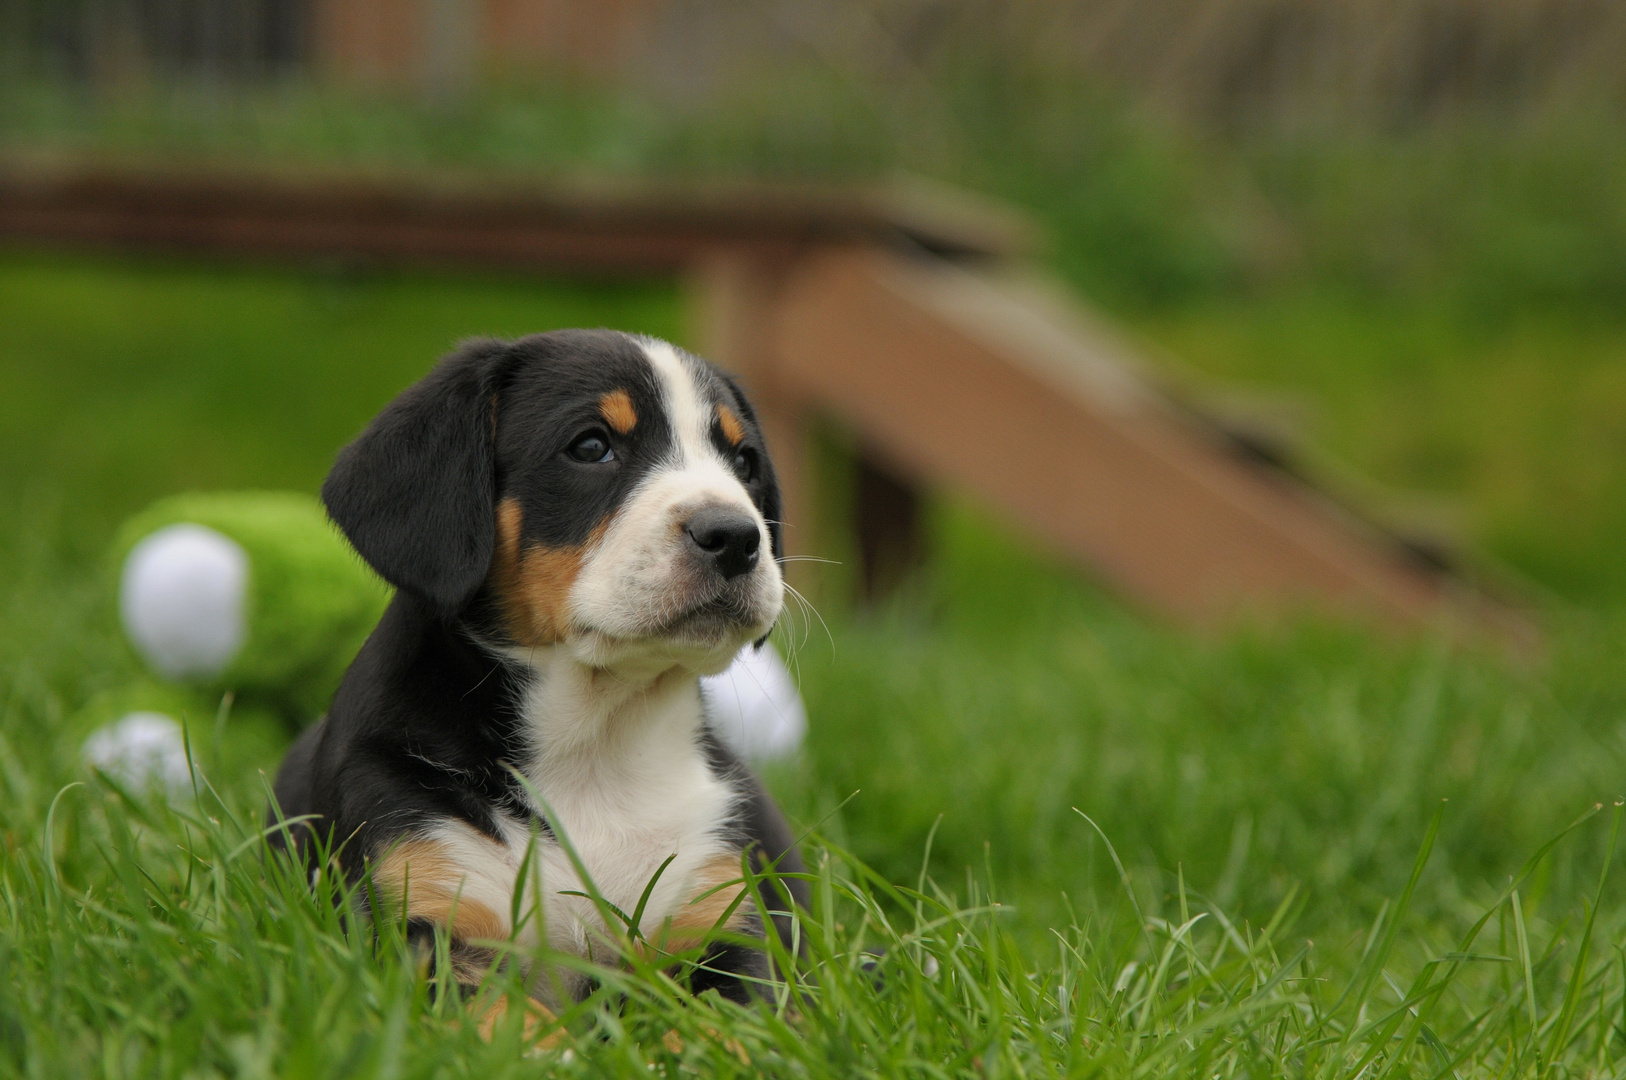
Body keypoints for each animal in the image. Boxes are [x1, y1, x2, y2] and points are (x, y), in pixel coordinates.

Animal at [273, 326, 819, 1014]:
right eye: (591, 447)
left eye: (744, 462)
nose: (736, 537)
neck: (597, 746)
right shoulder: (422, 927)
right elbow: (521, 1025)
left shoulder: (724, 934)